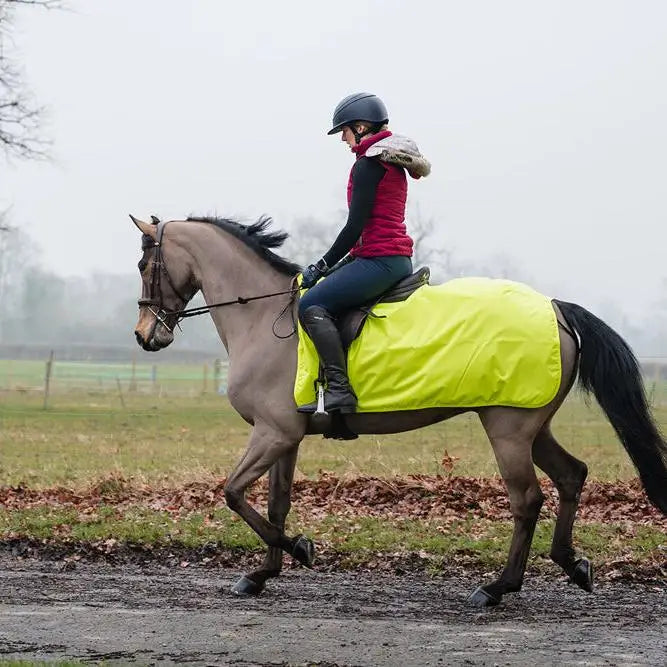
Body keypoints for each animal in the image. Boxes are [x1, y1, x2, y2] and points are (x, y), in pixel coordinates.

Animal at [130, 213, 667, 607]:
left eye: (142, 265)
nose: (144, 335)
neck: (263, 317)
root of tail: (555, 308)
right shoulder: (286, 436)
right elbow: (276, 503)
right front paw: (263, 573)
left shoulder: (272, 433)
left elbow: (234, 494)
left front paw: (299, 549)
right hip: (533, 425)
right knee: (572, 475)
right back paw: (572, 564)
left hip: (509, 429)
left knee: (528, 499)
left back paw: (497, 587)